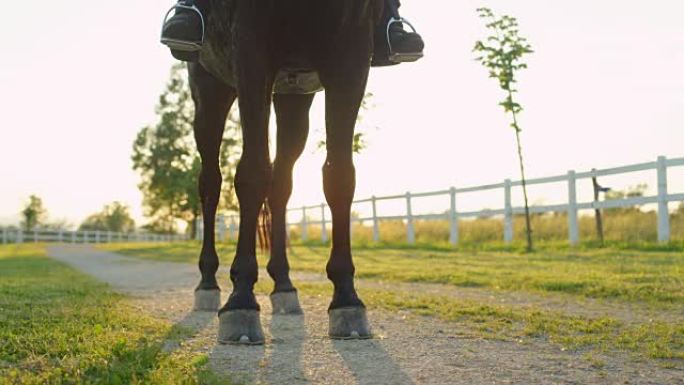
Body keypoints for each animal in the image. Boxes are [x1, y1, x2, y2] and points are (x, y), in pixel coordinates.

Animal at [187, 0, 382, 342]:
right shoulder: (250, 49)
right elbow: (252, 174)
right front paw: (241, 300)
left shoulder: (352, 55)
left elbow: (339, 177)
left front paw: (347, 297)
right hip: (210, 92)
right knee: (210, 183)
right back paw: (208, 282)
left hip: (293, 96)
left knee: (280, 185)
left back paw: (284, 285)